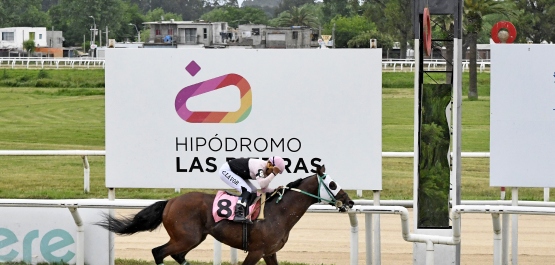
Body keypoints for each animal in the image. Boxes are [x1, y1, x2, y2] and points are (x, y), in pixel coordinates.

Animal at [97, 165, 354, 264]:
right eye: (332, 184)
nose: (350, 201)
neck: (278, 214)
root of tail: (170, 201)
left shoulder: (270, 252)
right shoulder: (256, 251)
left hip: (193, 238)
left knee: (177, 256)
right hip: (186, 237)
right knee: (158, 252)